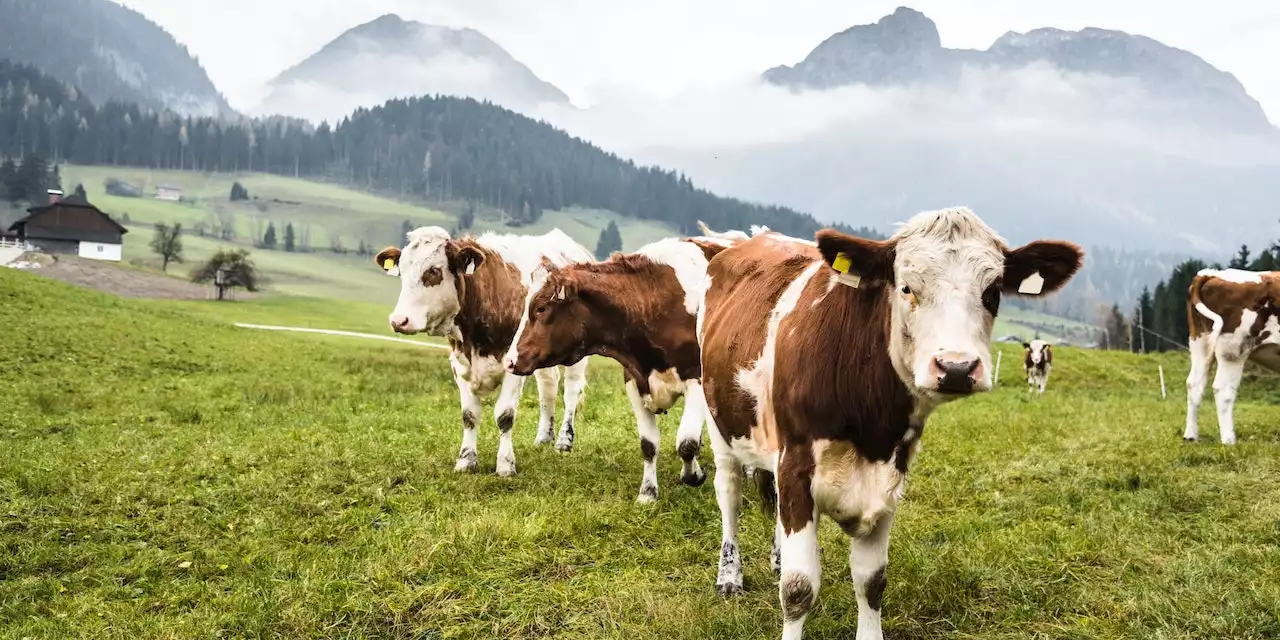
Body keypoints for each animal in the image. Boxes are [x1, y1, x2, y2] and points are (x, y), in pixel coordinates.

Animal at [373, 227, 593, 478]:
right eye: (402, 271)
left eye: (434, 270)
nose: (398, 320)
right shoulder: (459, 364)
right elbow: (469, 415)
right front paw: (466, 460)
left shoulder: (512, 365)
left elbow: (505, 415)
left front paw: (506, 464)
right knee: (548, 387)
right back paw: (544, 438)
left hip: (575, 356)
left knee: (571, 391)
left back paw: (564, 442)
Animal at [499, 227, 778, 501]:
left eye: (541, 308)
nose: (510, 361)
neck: (653, 303)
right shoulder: (634, 379)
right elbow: (649, 444)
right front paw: (648, 493)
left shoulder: (697, 380)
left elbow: (686, 442)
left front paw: (693, 475)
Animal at [701, 207, 1080, 637]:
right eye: (906, 287)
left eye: (993, 291)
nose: (956, 368)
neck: (868, 424)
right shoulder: (795, 464)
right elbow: (798, 589)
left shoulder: (888, 475)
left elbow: (872, 580)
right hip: (720, 423)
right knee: (729, 493)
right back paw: (729, 575)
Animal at [1177, 266, 1280, 445]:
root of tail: (1212, 274)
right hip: (1233, 350)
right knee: (1223, 389)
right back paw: (1229, 439)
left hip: (1200, 342)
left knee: (1194, 384)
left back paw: (1191, 435)